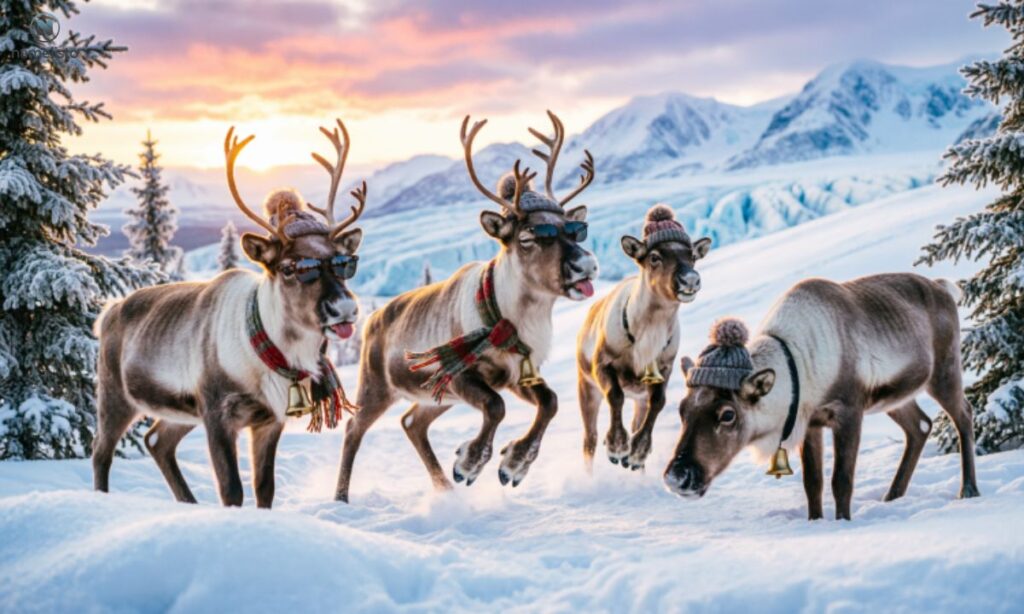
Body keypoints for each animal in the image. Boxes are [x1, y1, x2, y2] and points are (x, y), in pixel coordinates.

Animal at [92, 119, 367, 508]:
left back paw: (189, 503)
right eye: (291, 268)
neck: (272, 352)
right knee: (101, 451)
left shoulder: (269, 419)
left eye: (344, 263)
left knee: (156, 441)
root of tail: (108, 312)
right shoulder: (218, 413)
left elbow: (265, 487)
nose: (344, 308)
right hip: (115, 393)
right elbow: (231, 490)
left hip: (180, 410)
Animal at [334, 111, 599, 502]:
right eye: (528, 237)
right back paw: (341, 496)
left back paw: (444, 487)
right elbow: (496, 406)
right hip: (378, 386)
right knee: (354, 426)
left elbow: (549, 402)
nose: (587, 264)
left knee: (411, 422)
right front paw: (470, 463)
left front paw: (513, 464)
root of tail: (372, 319)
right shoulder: (460, 376)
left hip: (435, 397)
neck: (511, 319)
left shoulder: (519, 373)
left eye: (574, 229)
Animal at [577, 204, 710, 473]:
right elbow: (615, 396)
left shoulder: (663, 369)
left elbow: (658, 402)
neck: (649, 333)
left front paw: (637, 453)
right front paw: (617, 446)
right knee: (590, 439)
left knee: (637, 418)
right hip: (586, 387)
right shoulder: (601, 364)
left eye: (692, 255)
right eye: (654, 256)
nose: (690, 279)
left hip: (637, 397)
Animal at [664, 273, 980, 520]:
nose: (677, 477)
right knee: (921, 425)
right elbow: (812, 483)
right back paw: (893, 496)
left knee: (964, 414)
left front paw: (843, 522)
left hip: (944, 372)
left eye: (728, 414)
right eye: (682, 410)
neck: (796, 368)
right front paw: (815, 522)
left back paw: (968, 490)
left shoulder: (848, 411)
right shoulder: (810, 422)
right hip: (895, 399)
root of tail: (944, 288)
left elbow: (841, 480)